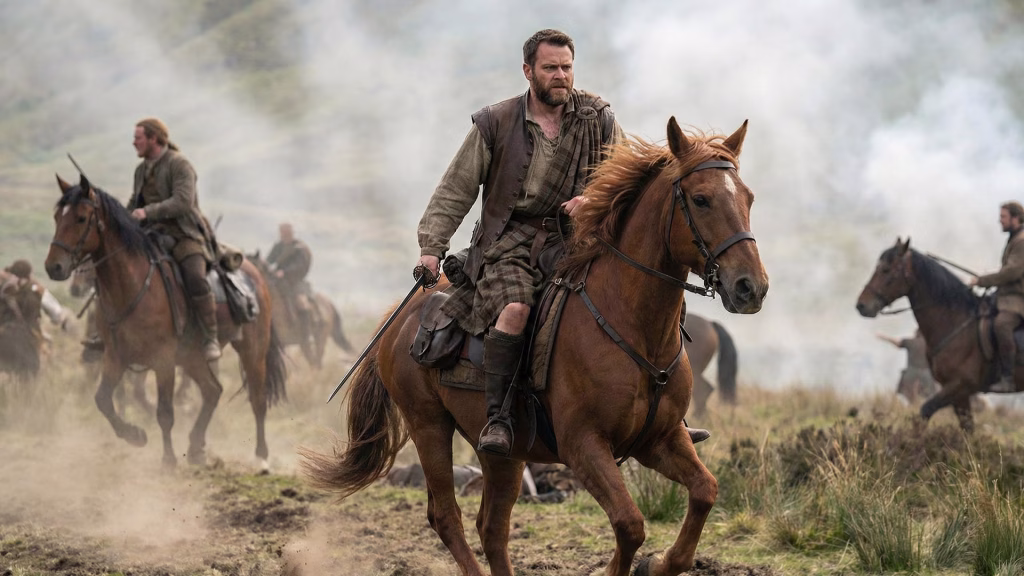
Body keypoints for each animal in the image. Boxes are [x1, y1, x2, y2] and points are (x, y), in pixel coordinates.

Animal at [45, 174, 288, 469]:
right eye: (57, 216)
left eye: (81, 218)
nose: (53, 267)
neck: (133, 285)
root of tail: (257, 276)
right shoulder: (115, 356)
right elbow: (103, 399)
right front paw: (135, 435)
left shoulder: (163, 359)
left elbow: (164, 412)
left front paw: (168, 459)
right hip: (192, 357)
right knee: (212, 391)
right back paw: (195, 447)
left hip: (252, 350)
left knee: (257, 399)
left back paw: (261, 456)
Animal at [302, 117, 768, 576]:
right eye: (701, 199)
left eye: (748, 197)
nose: (751, 287)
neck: (633, 327)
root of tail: (399, 322)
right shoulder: (584, 447)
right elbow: (629, 524)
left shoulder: (661, 440)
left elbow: (705, 491)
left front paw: (659, 564)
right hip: (428, 426)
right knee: (447, 516)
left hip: (503, 453)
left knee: (491, 527)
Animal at [856, 237, 1021, 432]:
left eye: (886, 270)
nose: (861, 305)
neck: (956, 323)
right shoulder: (958, 392)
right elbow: (967, 427)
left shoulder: (960, 385)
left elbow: (925, 410)